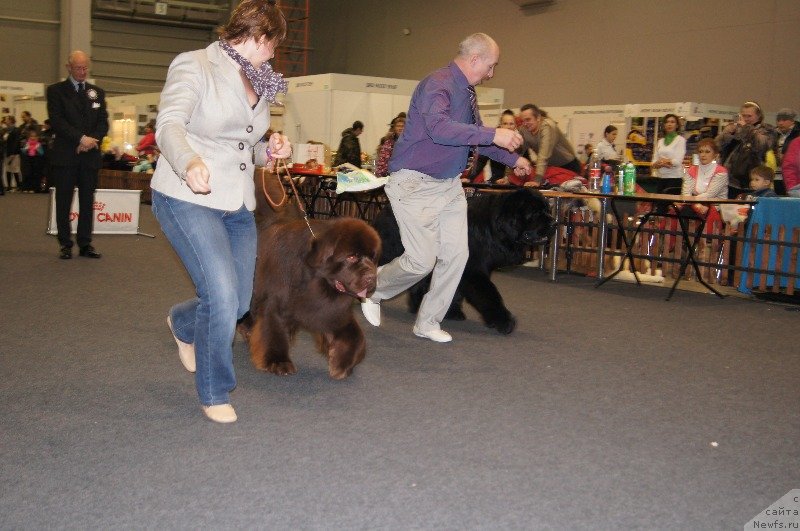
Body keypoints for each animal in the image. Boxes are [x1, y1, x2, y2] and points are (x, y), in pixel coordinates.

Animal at [244, 170, 382, 378]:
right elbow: (273, 331)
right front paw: (278, 362)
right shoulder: (275, 304)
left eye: (372, 259)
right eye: (351, 257)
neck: (314, 282)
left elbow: (356, 337)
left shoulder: (332, 312)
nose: (371, 278)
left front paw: (341, 363)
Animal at [372, 189, 552, 334]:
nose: (554, 223)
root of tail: (385, 207)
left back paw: (417, 306)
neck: (492, 228)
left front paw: (452, 312)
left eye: (547, 210)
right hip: (394, 251)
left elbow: (455, 290)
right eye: (535, 213)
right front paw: (503, 321)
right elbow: (489, 294)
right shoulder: (473, 270)